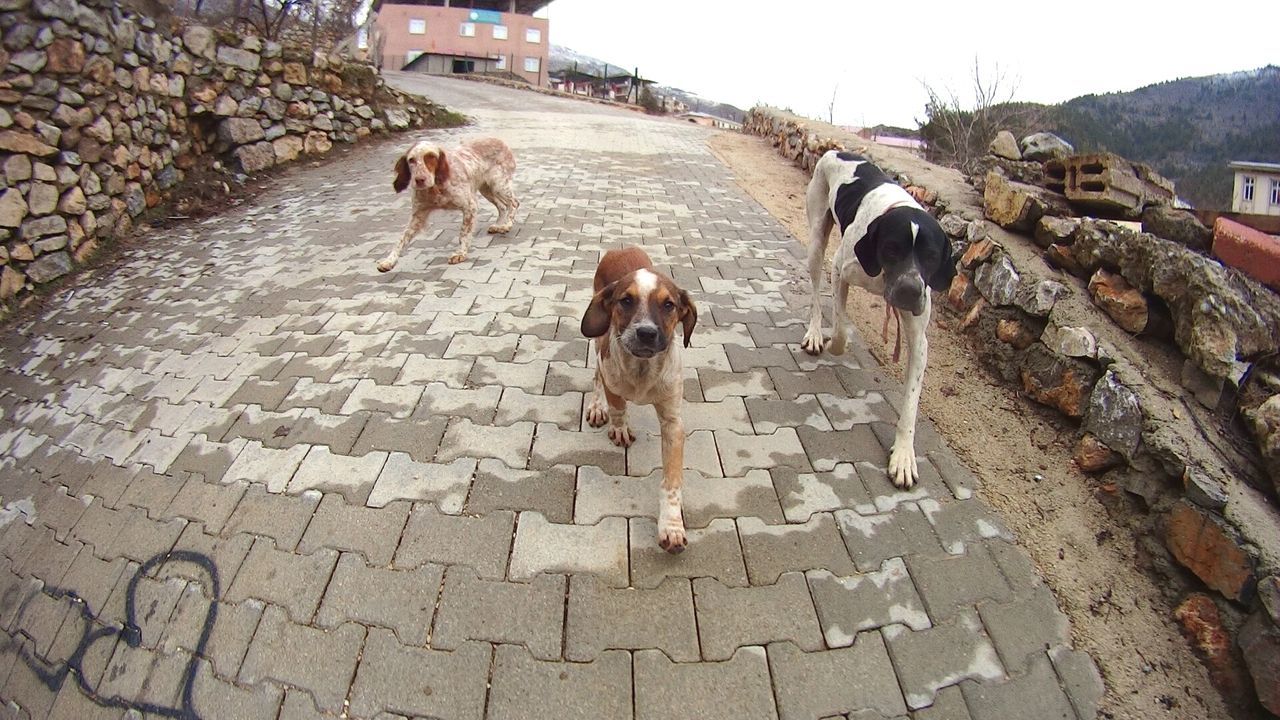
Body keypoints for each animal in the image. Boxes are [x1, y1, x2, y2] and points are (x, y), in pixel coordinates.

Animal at [373, 134, 519, 269]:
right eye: (411, 160)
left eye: (431, 157)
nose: (419, 180)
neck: (435, 187)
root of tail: (499, 141)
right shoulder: (418, 215)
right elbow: (401, 239)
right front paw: (389, 260)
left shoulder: (470, 206)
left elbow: (464, 232)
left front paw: (460, 253)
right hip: (487, 189)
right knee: (502, 206)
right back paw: (498, 225)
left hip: (499, 184)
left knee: (514, 203)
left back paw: (506, 225)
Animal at [583, 243, 701, 550]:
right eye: (626, 301)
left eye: (669, 305)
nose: (646, 333)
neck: (642, 370)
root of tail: (621, 247)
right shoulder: (611, 373)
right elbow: (617, 405)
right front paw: (619, 427)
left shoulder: (673, 423)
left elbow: (671, 482)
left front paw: (672, 526)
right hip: (598, 336)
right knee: (596, 374)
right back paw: (597, 406)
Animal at [798, 151, 962, 486]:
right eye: (892, 248)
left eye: (931, 256)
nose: (910, 292)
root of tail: (836, 151)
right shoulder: (840, 270)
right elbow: (841, 328)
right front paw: (836, 341)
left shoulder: (919, 340)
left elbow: (911, 403)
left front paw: (903, 456)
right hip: (817, 241)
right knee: (817, 295)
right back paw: (816, 333)